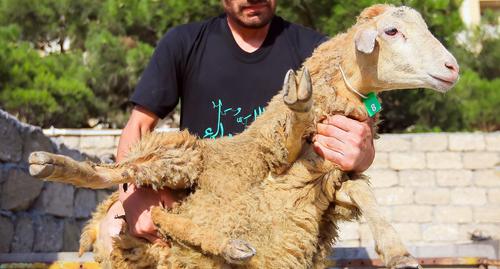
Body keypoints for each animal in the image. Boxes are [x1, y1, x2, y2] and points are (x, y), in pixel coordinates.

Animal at [27, 4, 458, 268]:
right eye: (392, 31)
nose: (452, 68)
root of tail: (98, 224)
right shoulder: (273, 155)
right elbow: (290, 131)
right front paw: (300, 99)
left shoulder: (330, 189)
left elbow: (365, 194)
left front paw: (399, 252)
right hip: (180, 154)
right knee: (115, 175)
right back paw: (49, 163)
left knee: (162, 215)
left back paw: (228, 245)